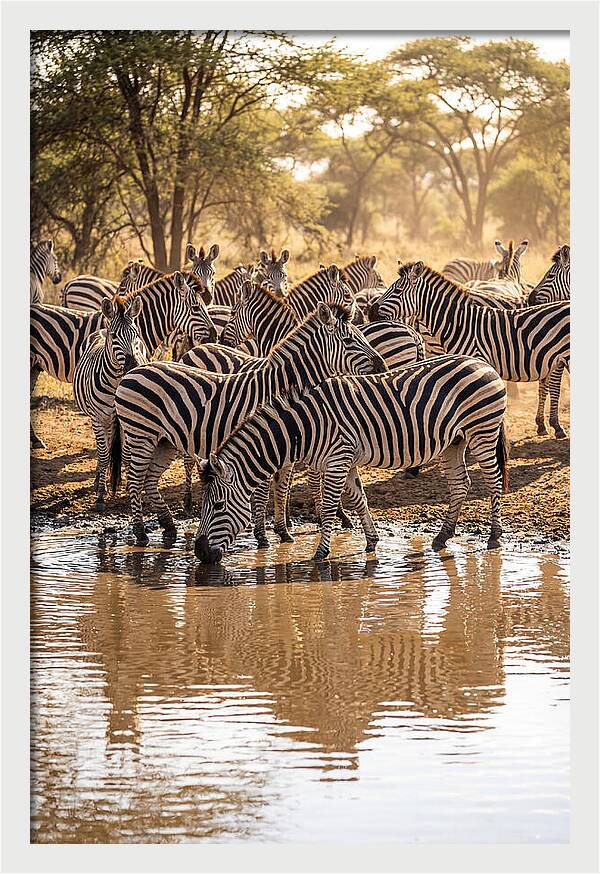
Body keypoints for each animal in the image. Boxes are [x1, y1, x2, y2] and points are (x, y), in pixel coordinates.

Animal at [30, 271, 217, 448]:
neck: (141, 324)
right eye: (195, 308)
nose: (214, 335)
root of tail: (69, 284)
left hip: (35, 366)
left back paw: (36, 440)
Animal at [73, 296, 148, 511]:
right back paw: (99, 480)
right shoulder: (98, 418)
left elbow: (127, 455)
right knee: (102, 450)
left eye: (136, 335)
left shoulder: (130, 420)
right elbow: (104, 454)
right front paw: (100, 495)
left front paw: (131, 488)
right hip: (99, 419)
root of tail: (101, 330)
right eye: (115, 336)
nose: (133, 366)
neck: (116, 383)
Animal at [109, 303, 386, 546]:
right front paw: (262, 537)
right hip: (140, 435)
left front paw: (283, 532)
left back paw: (168, 526)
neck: (280, 386)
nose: (382, 365)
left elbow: (282, 488)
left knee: (149, 480)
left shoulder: (286, 445)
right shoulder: (265, 442)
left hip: (164, 441)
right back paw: (141, 533)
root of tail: (132, 372)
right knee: (134, 480)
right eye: (349, 341)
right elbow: (263, 492)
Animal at [193, 354, 509, 564]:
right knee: (461, 484)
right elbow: (359, 500)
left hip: (482, 430)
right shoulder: (345, 461)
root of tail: (482, 363)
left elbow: (329, 509)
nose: (199, 552)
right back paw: (443, 536)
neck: (305, 426)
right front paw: (371, 541)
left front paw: (320, 554)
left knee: (493, 481)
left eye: (218, 506)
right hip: (453, 442)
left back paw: (494, 536)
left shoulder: (338, 460)